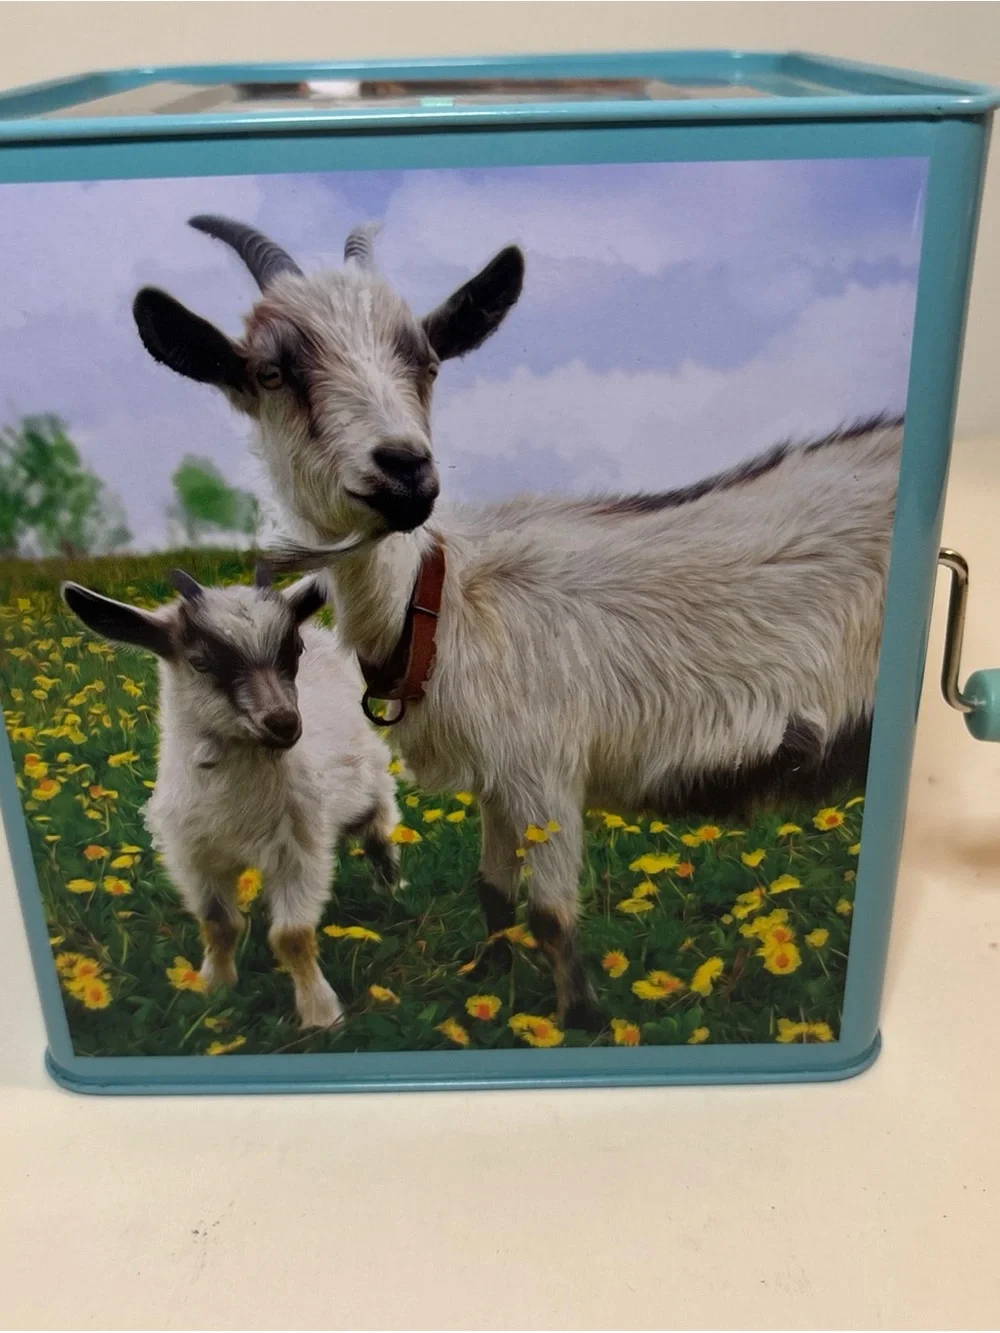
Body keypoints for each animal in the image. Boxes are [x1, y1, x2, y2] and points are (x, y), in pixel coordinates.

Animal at [61, 567, 400, 1029]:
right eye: (200, 662)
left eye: (293, 650)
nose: (284, 723)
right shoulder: (194, 855)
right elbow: (219, 924)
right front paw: (213, 987)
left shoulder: (300, 849)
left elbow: (292, 937)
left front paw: (320, 1015)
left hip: (364, 780)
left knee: (379, 823)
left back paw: (390, 883)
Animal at [131, 217, 900, 1030]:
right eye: (272, 373)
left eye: (428, 361)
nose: (404, 470)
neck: (440, 601)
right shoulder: (498, 778)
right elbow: (494, 892)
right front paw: (489, 981)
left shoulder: (546, 767)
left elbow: (552, 914)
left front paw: (581, 1020)